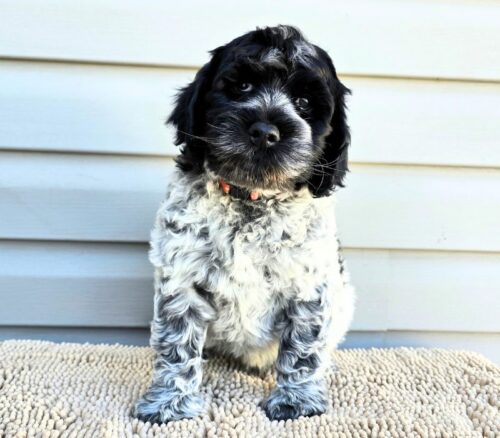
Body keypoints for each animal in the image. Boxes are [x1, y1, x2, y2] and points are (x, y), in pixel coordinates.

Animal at [134, 24, 356, 424]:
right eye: (242, 87)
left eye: (304, 103)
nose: (266, 131)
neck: (251, 199)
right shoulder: (182, 278)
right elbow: (177, 344)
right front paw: (170, 404)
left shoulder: (309, 285)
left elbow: (303, 347)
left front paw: (297, 402)